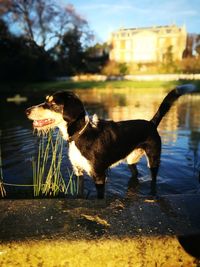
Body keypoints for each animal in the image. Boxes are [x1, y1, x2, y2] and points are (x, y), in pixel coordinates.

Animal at [25, 84, 196, 199]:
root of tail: (151, 123)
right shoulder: (78, 171)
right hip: (131, 160)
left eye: (53, 104)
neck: (79, 135)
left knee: (153, 179)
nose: (26, 111)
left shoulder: (99, 176)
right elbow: (80, 192)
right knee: (136, 173)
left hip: (153, 160)